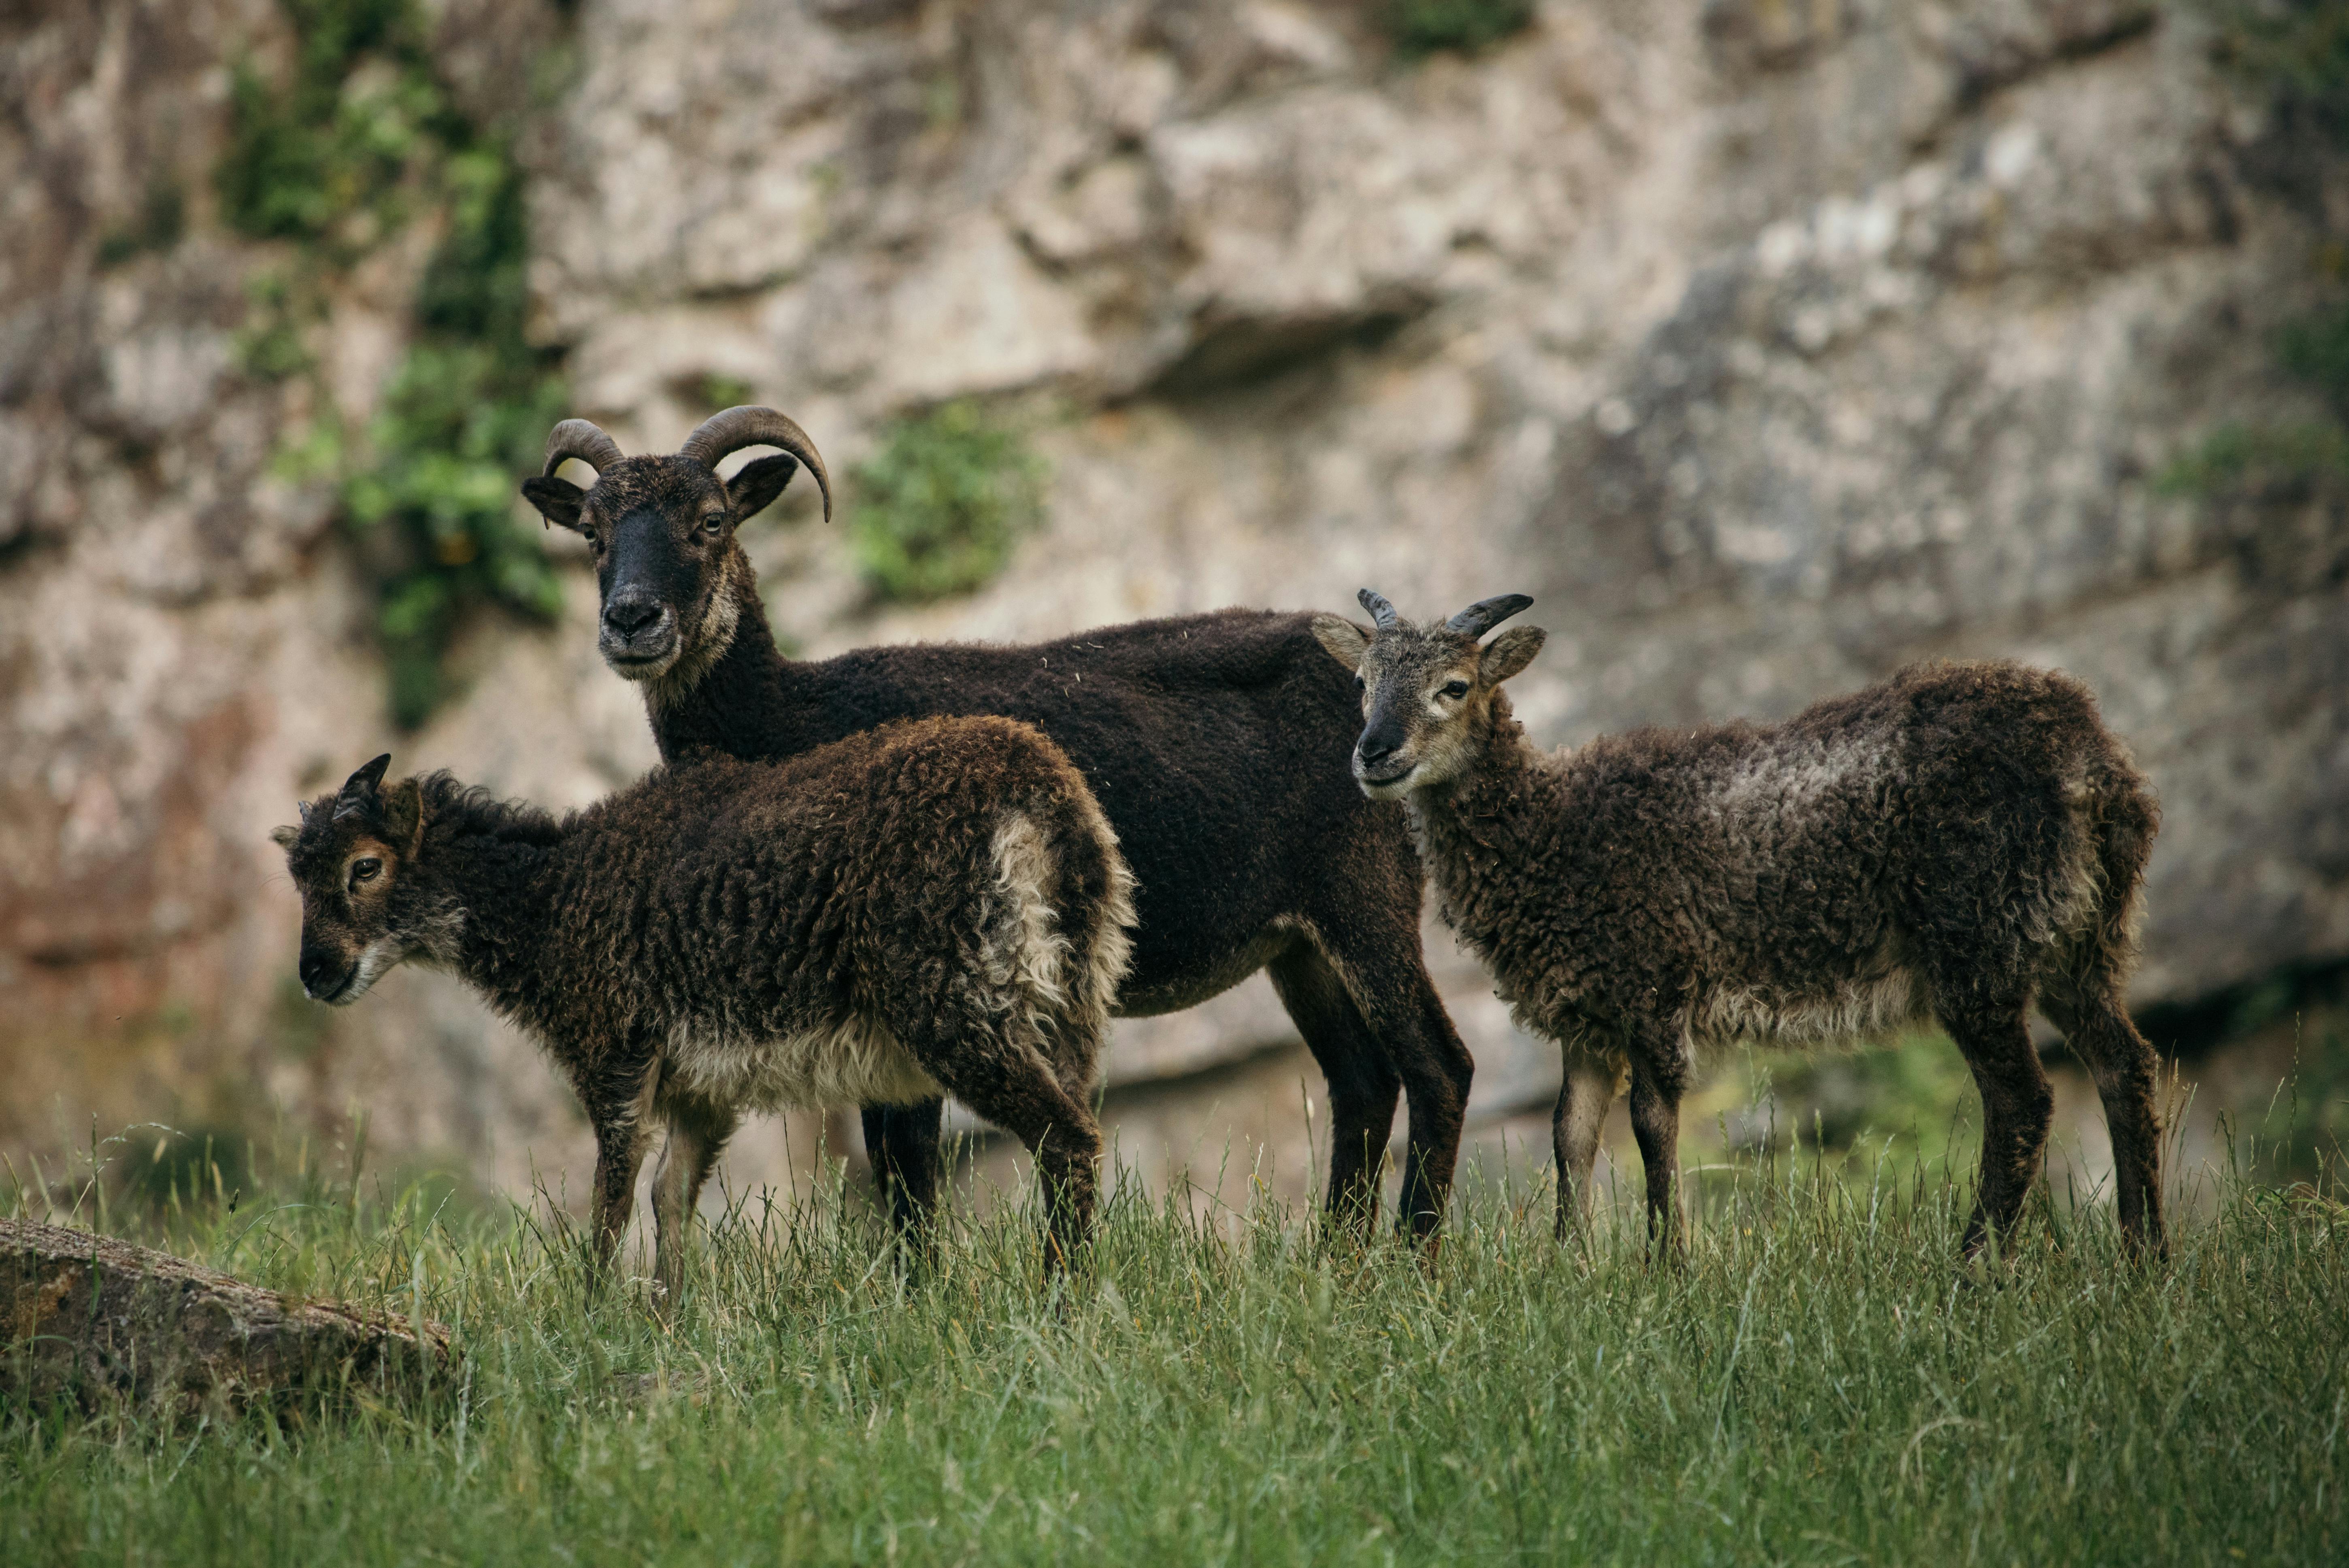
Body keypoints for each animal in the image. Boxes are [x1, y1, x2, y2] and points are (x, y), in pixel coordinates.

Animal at [275, 720, 1136, 1291]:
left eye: (366, 866)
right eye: (299, 880)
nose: (317, 970)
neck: (552, 903)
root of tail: (1043, 807)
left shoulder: (616, 1051)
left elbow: (614, 1195)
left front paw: (590, 1315)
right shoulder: (702, 1090)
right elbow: (672, 1195)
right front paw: (668, 1320)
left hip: (959, 1002)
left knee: (1065, 1137)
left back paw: (1056, 1302)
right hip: (1070, 997)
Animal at [518, 409, 1475, 1242]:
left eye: (712, 519)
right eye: (592, 532)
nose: (632, 619)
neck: (785, 712)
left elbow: (907, 1160)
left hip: (1365, 889)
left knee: (1438, 1065)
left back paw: (1411, 1262)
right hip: (1297, 940)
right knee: (1363, 1081)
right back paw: (1336, 1264)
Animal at [1312, 591, 2167, 1260]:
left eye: (1454, 686)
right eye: (1361, 683)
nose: (1373, 752)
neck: (1554, 829)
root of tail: (2095, 761)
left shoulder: (1652, 986)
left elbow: (1651, 1124)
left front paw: (1665, 1266)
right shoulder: (1589, 1013)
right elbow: (1570, 1134)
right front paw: (1568, 1267)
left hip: (1979, 944)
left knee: (2024, 1099)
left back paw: (1971, 1265)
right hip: (2077, 941)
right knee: (2125, 1064)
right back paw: (2142, 1259)